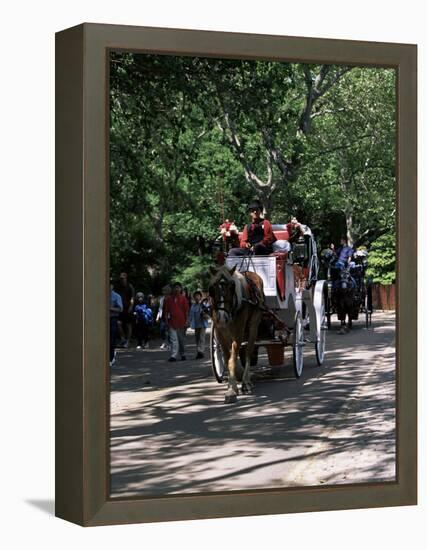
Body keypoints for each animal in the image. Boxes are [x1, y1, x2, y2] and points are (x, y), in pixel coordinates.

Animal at [207, 266, 264, 404]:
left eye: (232, 287)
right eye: (212, 289)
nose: (222, 318)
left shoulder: (237, 333)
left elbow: (232, 360)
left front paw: (232, 390)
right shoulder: (220, 333)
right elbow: (228, 359)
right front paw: (231, 386)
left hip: (253, 326)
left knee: (248, 352)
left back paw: (246, 382)